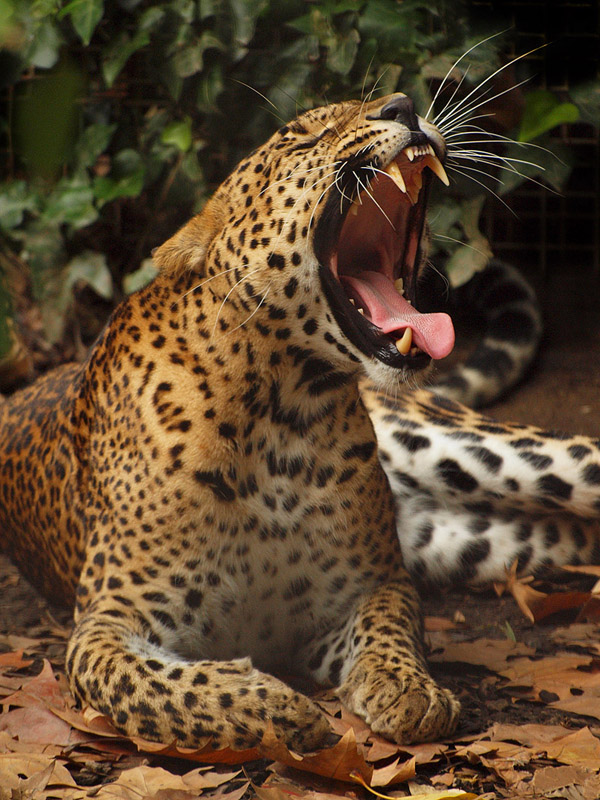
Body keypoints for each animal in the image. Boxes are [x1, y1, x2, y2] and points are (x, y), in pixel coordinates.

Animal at [1, 93, 599, 754]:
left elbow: (388, 631)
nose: (403, 103)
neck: (277, 415)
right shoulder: (103, 624)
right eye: (303, 137)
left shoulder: (372, 585)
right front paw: (277, 710)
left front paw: (405, 691)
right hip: (483, 540)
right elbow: (151, 688)